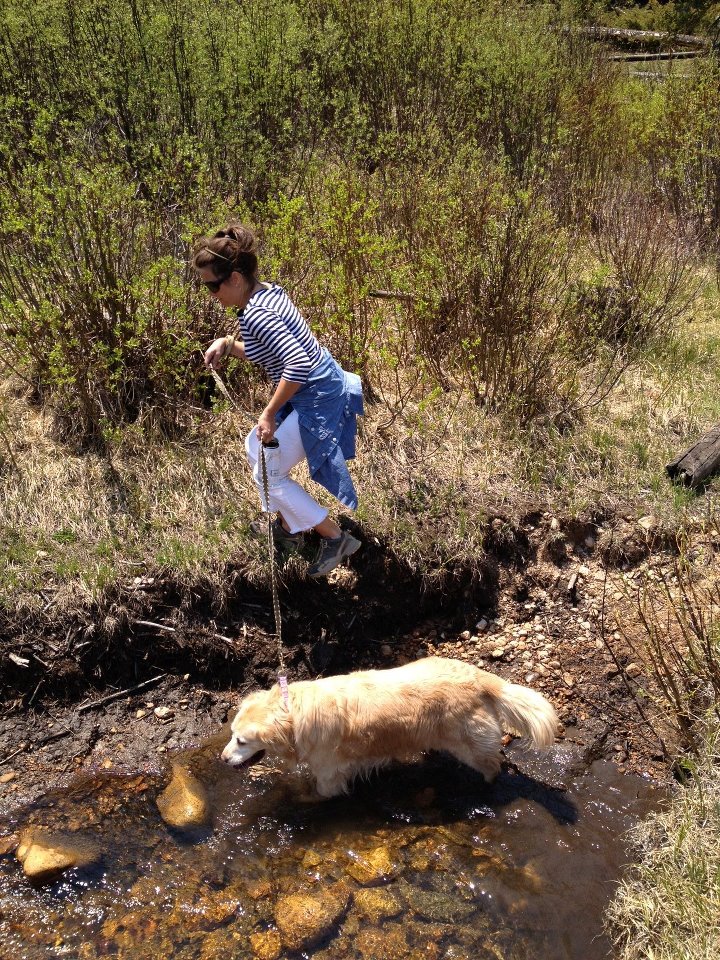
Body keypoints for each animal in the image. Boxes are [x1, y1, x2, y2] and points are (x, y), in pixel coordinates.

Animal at [221, 656, 558, 797]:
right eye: (232, 735)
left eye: (242, 741)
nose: (222, 759)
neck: (291, 712)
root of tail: (479, 677)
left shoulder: (330, 772)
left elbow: (320, 793)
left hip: (470, 745)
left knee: (492, 765)